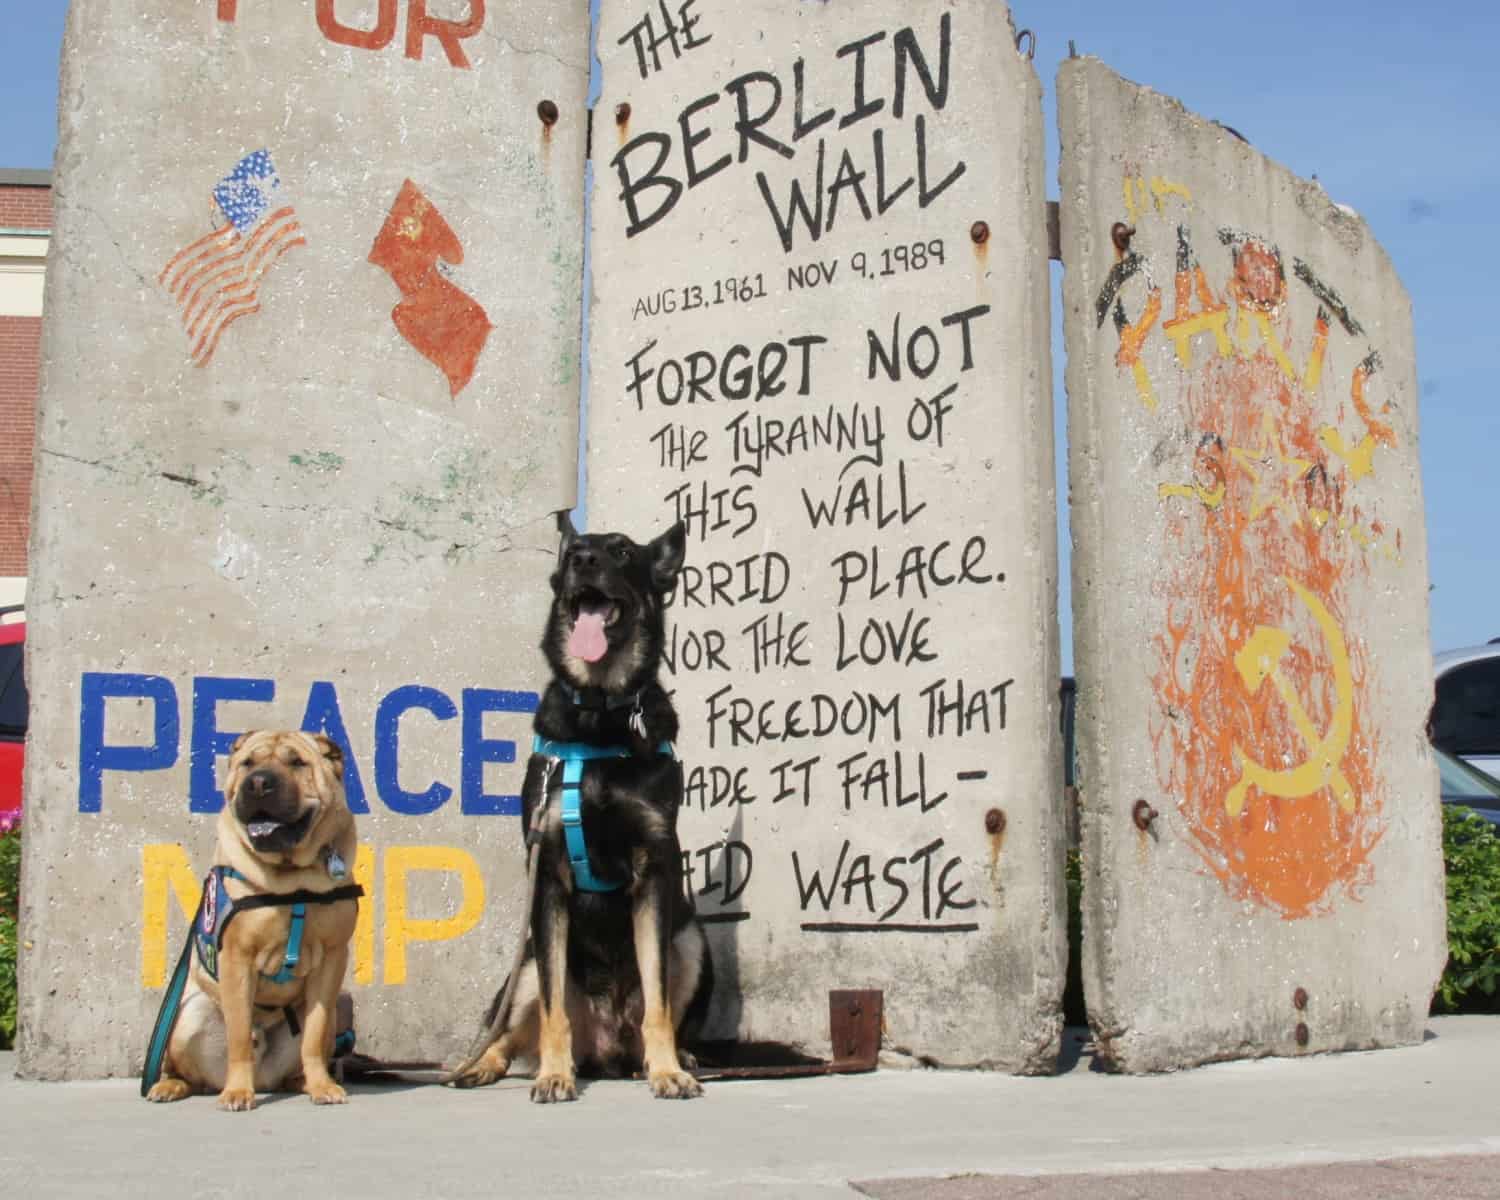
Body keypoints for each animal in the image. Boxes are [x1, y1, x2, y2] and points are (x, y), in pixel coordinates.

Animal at [144, 726, 361, 1110]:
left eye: (297, 762)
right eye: (247, 763)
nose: (258, 783)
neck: (292, 882)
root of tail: (264, 1079)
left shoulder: (331, 960)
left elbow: (314, 1033)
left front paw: (322, 1086)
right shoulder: (237, 958)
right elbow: (240, 1035)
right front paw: (237, 1092)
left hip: (330, 1012)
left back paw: (304, 1082)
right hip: (187, 1015)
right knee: (185, 1070)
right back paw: (171, 1086)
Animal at [459, 519, 711, 1104]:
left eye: (621, 551)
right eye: (573, 551)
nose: (583, 559)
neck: (601, 714)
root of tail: (608, 1046)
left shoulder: (654, 874)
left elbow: (659, 1002)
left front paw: (669, 1071)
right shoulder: (548, 876)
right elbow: (554, 1014)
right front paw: (555, 1075)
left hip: (690, 939)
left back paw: (666, 1059)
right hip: (527, 963)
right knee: (510, 1030)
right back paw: (482, 1066)